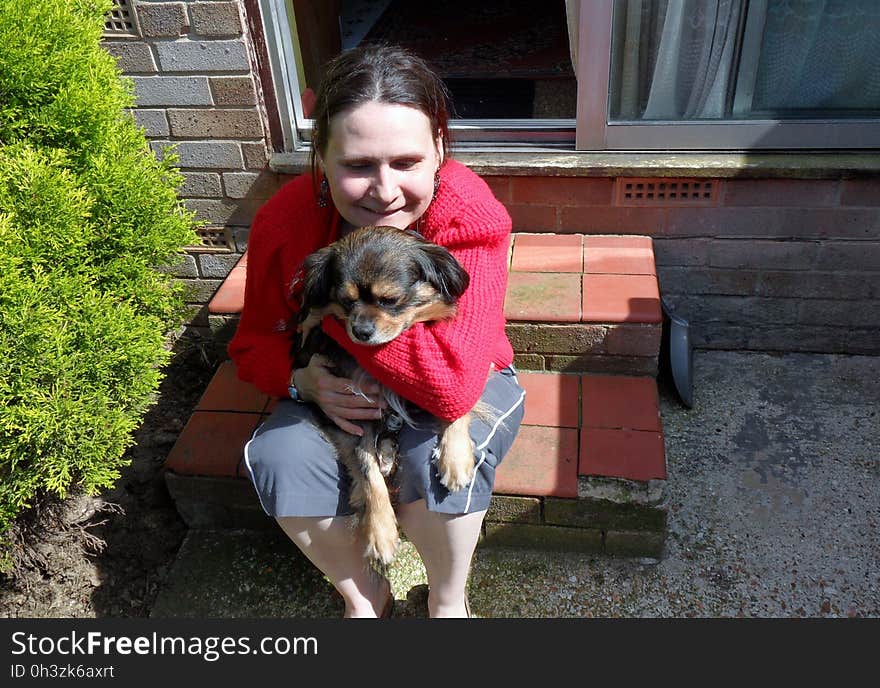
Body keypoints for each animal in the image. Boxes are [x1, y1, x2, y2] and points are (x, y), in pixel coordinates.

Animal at [288, 224, 484, 564]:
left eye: (390, 300)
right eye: (346, 301)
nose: (360, 332)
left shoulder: (450, 375)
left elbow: (453, 398)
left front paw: (456, 458)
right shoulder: (351, 412)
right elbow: (367, 471)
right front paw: (380, 532)